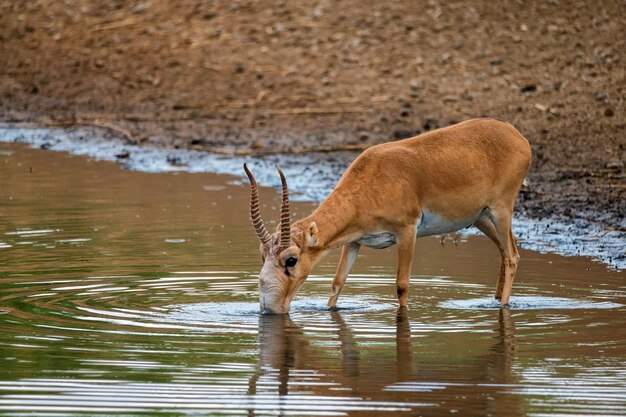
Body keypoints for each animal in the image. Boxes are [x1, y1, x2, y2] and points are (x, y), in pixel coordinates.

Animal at [241, 117, 528, 312]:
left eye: (291, 260)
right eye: (262, 255)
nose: (269, 307)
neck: (371, 181)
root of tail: (517, 136)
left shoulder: (407, 232)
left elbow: (402, 285)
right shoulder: (354, 241)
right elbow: (337, 282)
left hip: (501, 210)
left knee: (513, 255)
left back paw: (503, 305)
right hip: (480, 218)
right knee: (505, 250)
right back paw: (493, 300)